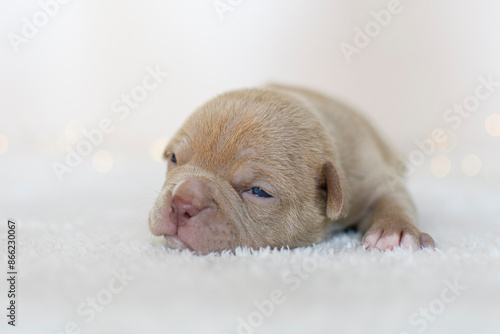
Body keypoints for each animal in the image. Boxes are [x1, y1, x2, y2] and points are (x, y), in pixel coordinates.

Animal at [148, 85, 434, 254]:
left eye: (259, 192)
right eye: (174, 158)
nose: (182, 203)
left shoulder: (372, 178)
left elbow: (394, 200)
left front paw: (395, 232)